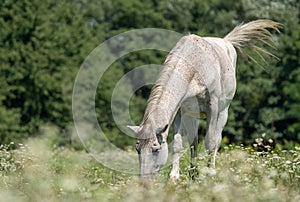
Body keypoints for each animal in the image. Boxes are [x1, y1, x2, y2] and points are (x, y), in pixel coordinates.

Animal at [127, 19, 282, 179]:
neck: (194, 66)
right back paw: (193, 173)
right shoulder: (179, 111)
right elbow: (178, 144)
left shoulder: (212, 106)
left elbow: (210, 142)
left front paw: (210, 174)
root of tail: (227, 42)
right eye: (138, 149)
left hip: (223, 113)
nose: (145, 180)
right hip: (191, 116)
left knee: (216, 139)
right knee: (193, 142)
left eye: (156, 149)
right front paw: (174, 177)